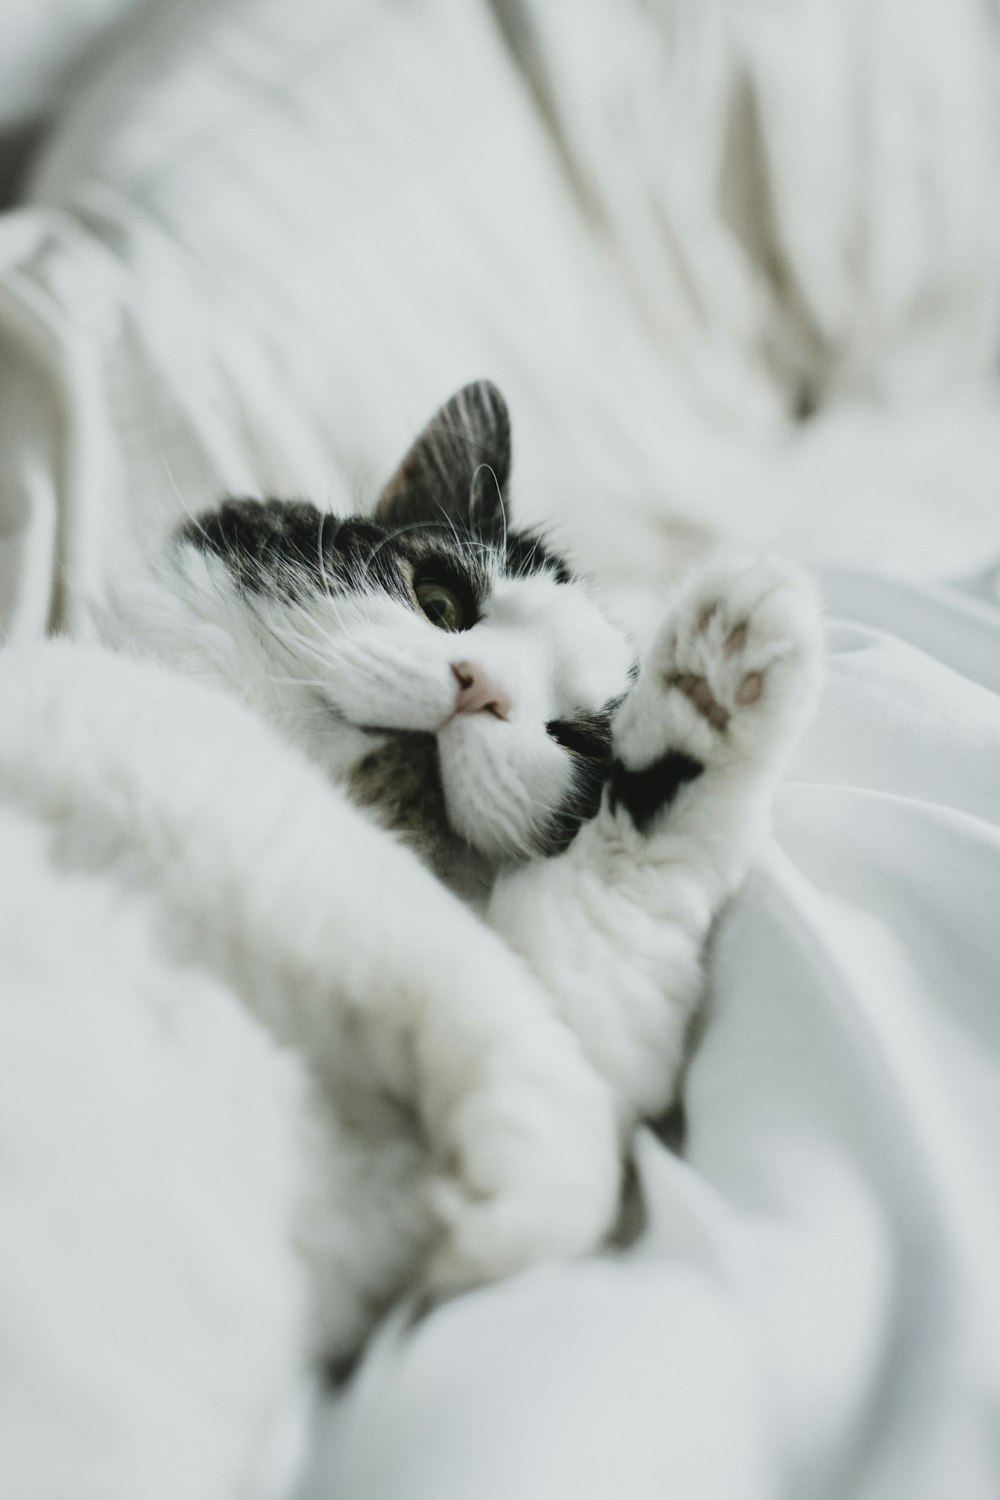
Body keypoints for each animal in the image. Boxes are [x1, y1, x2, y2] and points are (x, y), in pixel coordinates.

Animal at [5, 381, 821, 1368]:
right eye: (438, 600)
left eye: (579, 744)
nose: (481, 691)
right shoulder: (221, 784)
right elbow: (468, 970)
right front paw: (547, 1172)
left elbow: (596, 973)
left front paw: (714, 691)